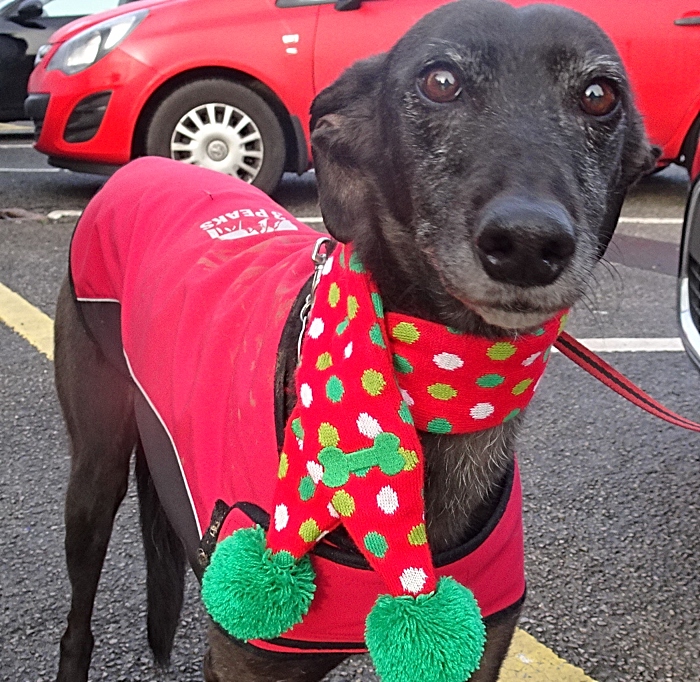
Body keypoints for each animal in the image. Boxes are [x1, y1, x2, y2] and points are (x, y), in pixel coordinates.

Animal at [52, 2, 652, 676]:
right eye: (439, 81)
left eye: (600, 95)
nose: (527, 243)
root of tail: (150, 163)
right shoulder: (245, 659)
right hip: (95, 468)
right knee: (79, 616)